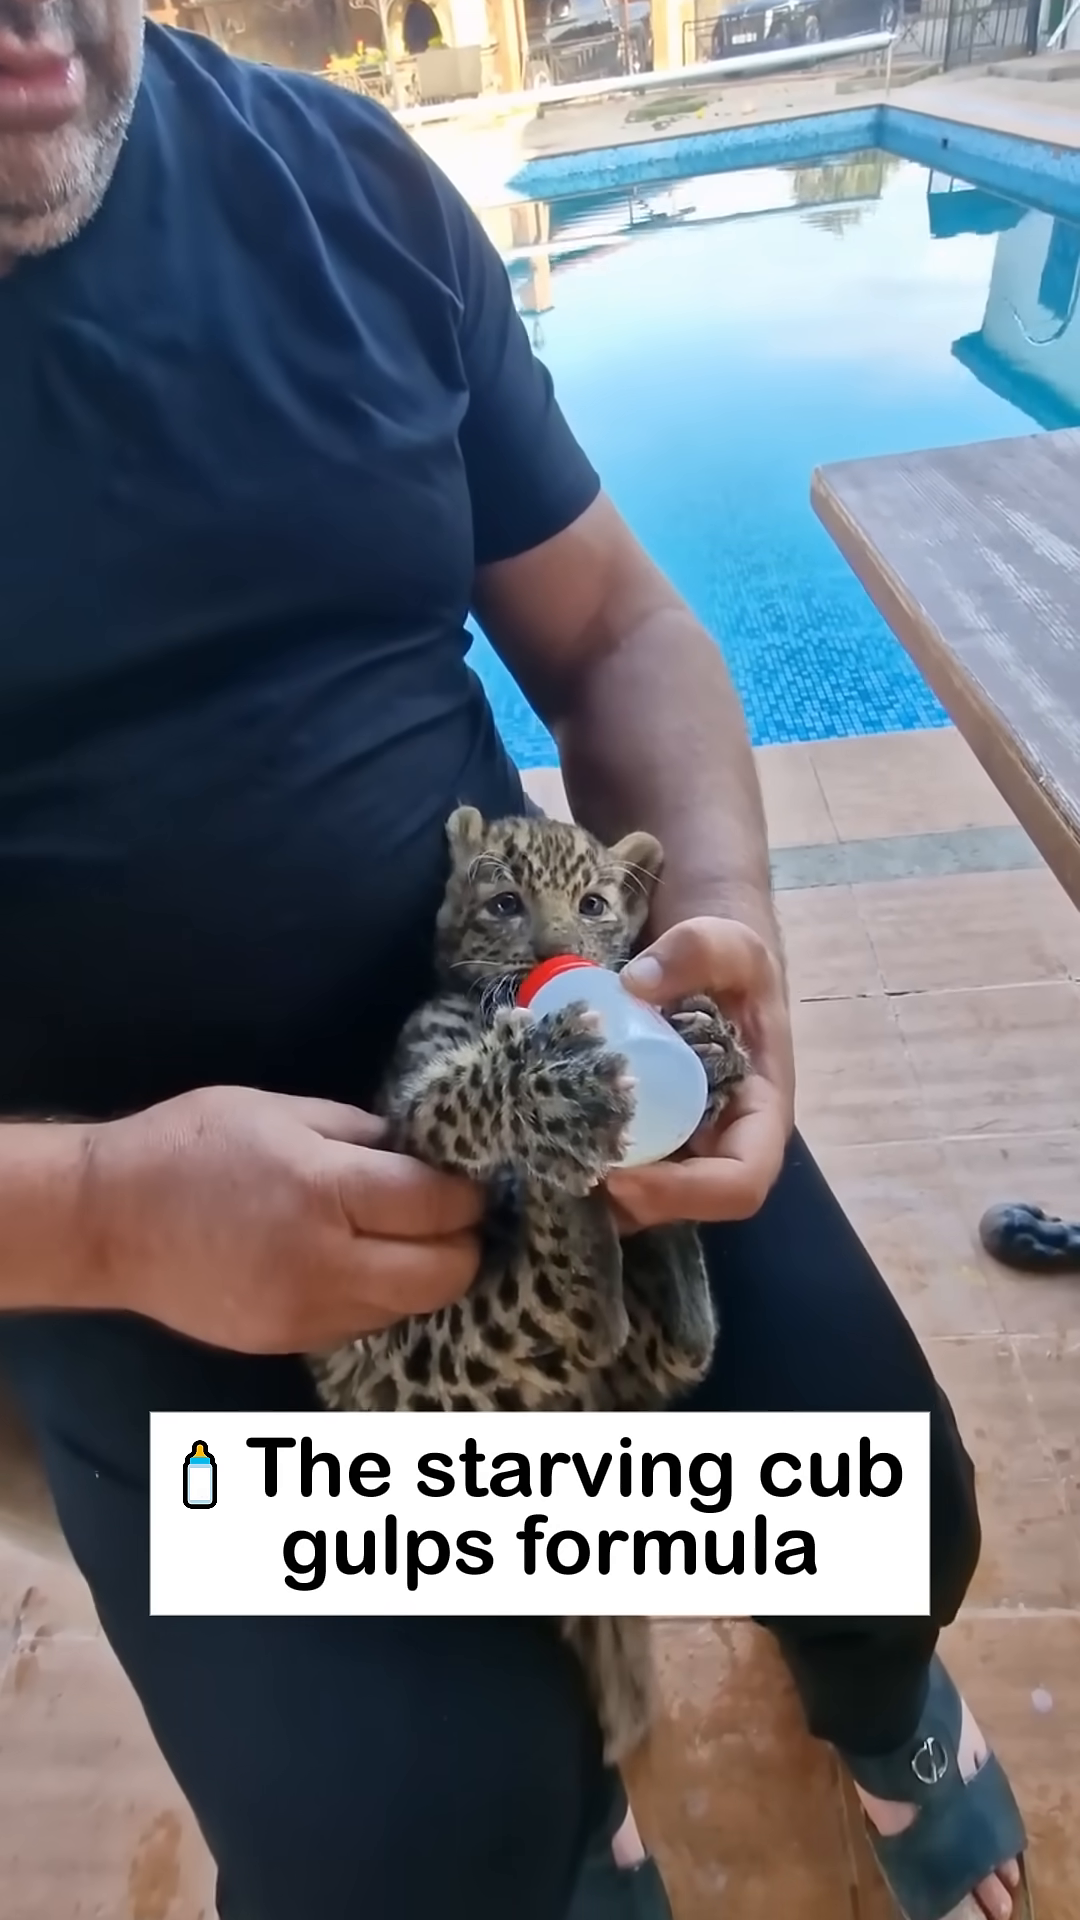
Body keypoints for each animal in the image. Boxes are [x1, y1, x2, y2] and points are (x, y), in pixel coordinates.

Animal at [310, 805, 750, 1763]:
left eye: (591, 906)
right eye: (506, 903)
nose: (552, 951)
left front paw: (701, 1034)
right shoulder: (415, 1119)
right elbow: (469, 1090)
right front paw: (554, 1078)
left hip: (628, 1371)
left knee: (677, 1338)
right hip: (450, 1357)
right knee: (583, 1303)